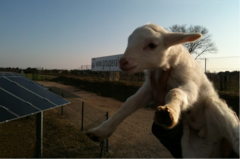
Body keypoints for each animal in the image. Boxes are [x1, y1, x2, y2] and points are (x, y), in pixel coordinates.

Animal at [86, 23, 240, 158]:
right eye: (128, 41)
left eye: (152, 45)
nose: (122, 62)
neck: (166, 67)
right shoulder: (149, 88)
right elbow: (129, 104)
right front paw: (100, 131)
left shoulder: (190, 83)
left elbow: (175, 92)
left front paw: (168, 113)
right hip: (194, 149)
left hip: (214, 105)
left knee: (233, 132)